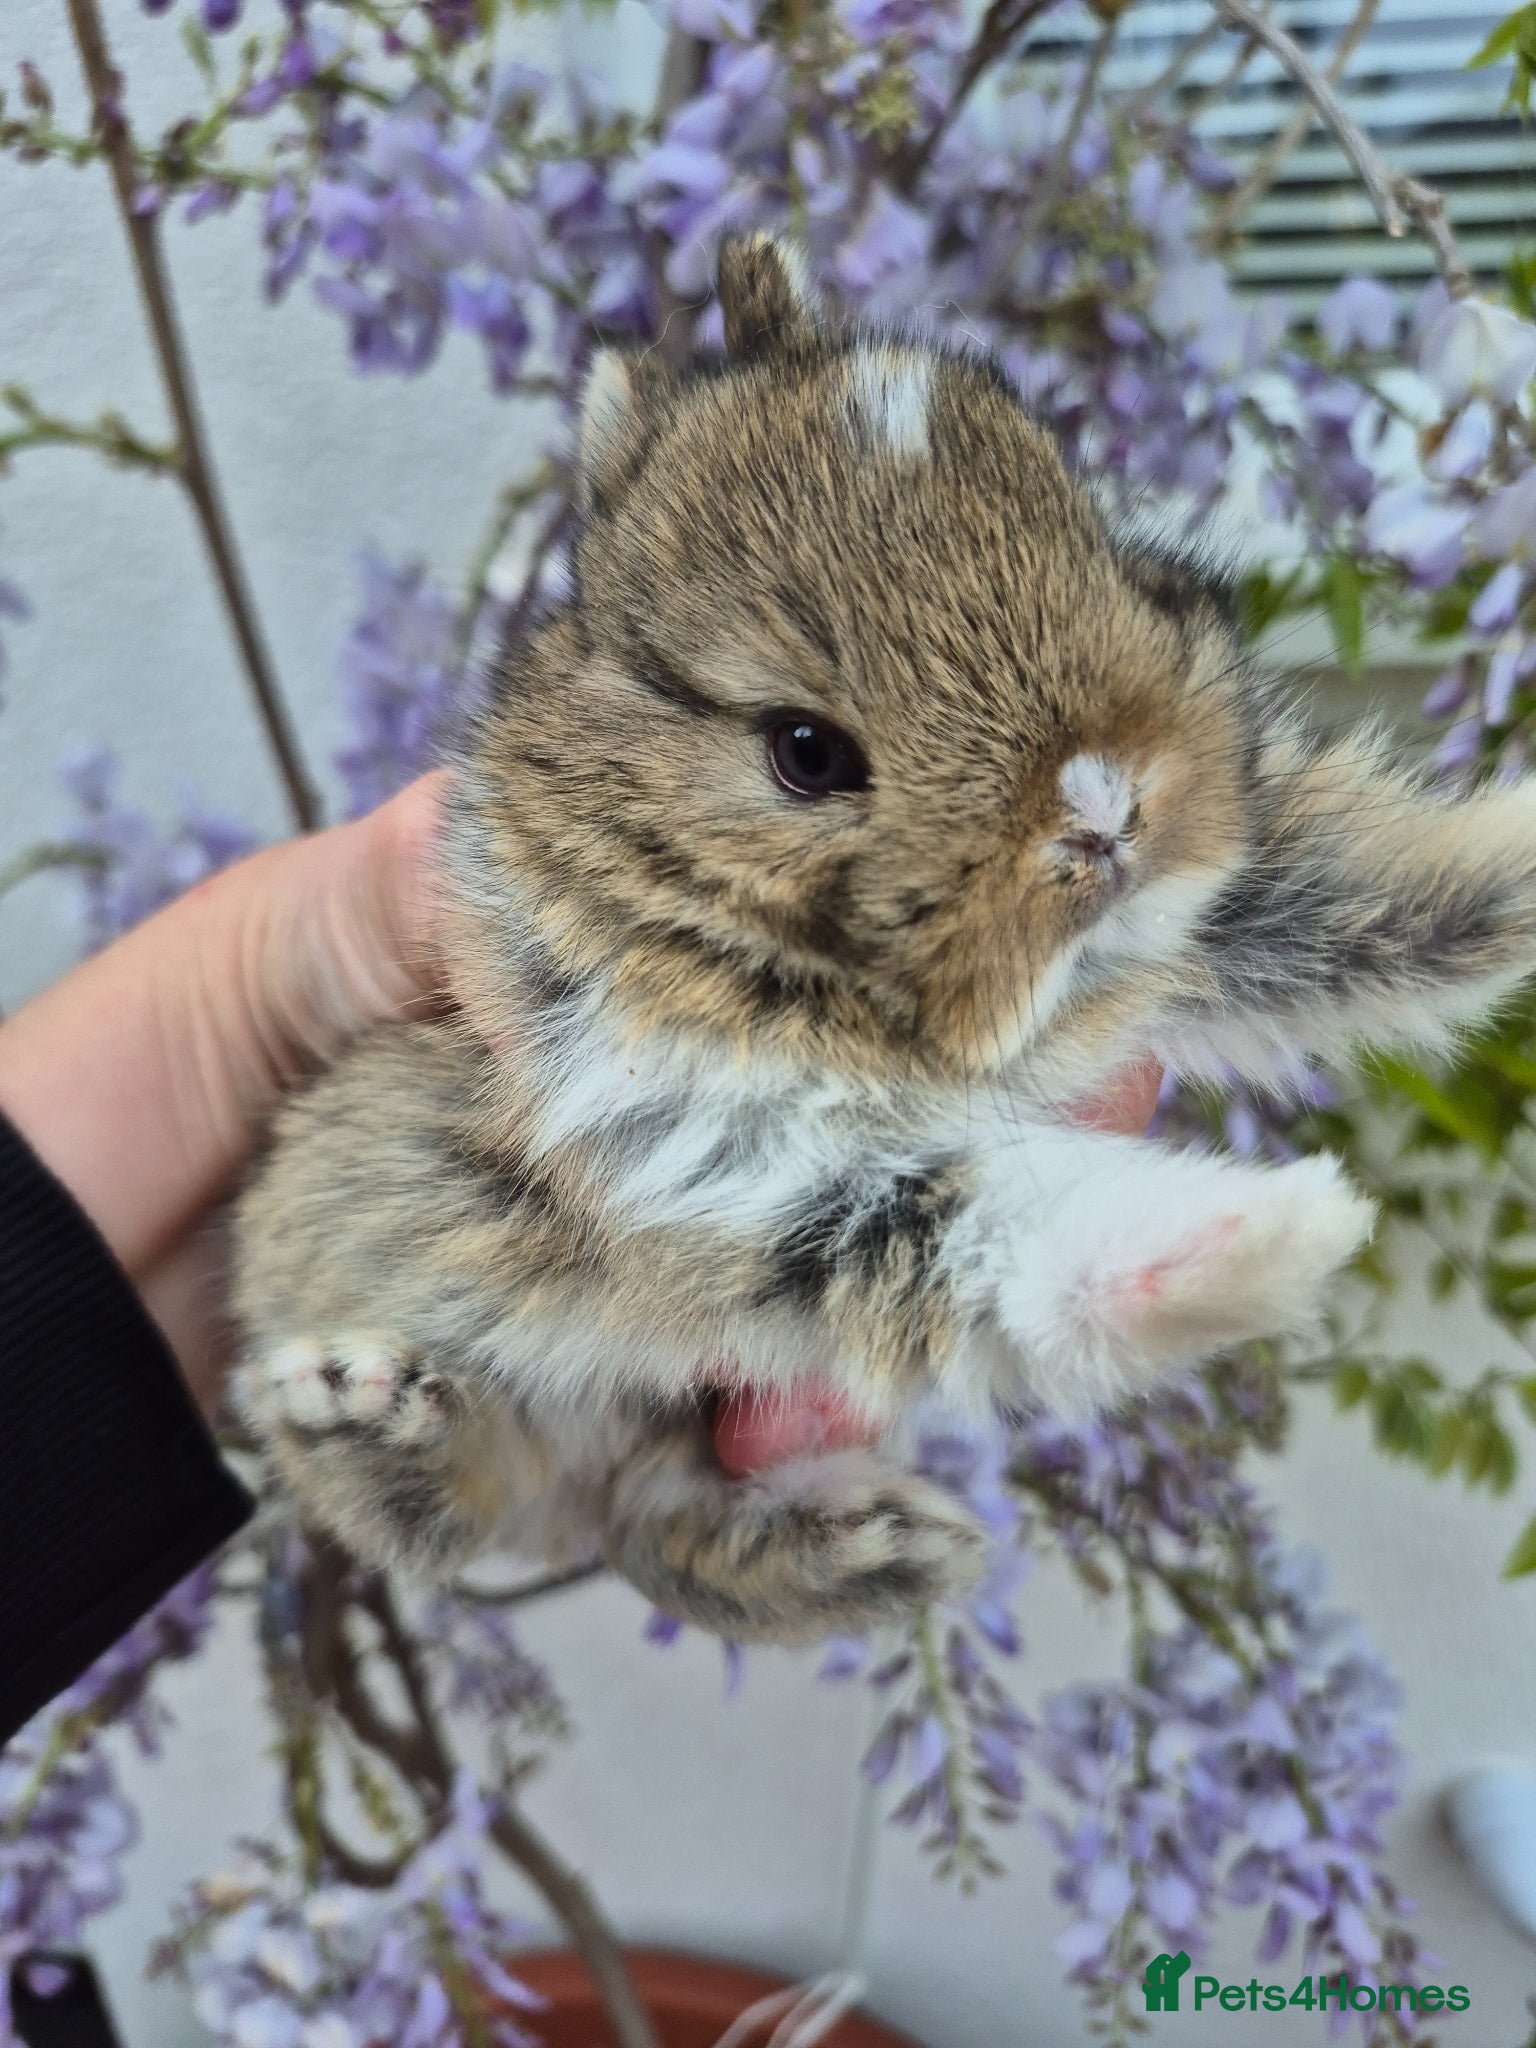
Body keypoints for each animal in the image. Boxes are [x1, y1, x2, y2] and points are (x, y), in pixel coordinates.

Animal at [233, 236, 1536, 1644]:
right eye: (807, 751)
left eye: (1075, 518)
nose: (1107, 807)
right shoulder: (717, 1160)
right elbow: (991, 1219)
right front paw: (1286, 1231)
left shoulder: (1230, 917)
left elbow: (1390, 886)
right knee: (459, 1509)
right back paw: (361, 1398)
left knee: (656, 1525)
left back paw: (892, 1546)